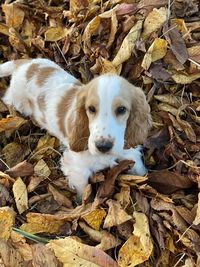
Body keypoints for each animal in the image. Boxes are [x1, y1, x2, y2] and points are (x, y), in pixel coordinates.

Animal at [0, 58, 152, 195]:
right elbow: (83, 194)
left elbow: (139, 168)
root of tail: (25, 63)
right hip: (17, 100)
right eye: (91, 109)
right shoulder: (77, 169)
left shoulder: (128, 151)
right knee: (7, 98)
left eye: (121, 109)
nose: (103, 146)